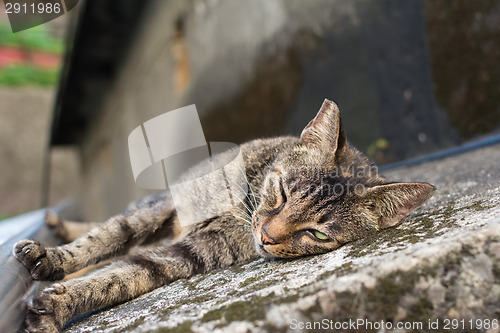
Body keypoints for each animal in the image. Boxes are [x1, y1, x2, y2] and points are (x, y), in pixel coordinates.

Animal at [11, 98, 434, 330]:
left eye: (318, 234)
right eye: (282, 192)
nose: (266, 236)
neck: (241, 209)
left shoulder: (190, 254)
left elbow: (124, 275)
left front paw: (58, 305)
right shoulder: (166, 206)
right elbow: (109, 236)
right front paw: (54, 259)